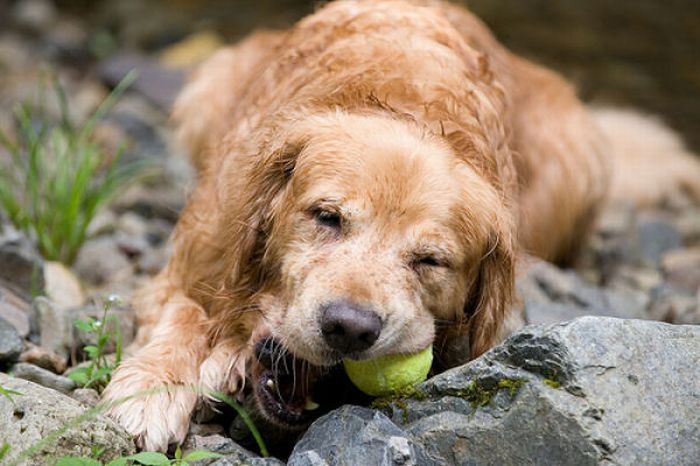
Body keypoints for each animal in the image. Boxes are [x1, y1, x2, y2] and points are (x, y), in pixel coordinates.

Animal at [102, 0, 700, 454]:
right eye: (327, 218)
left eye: (430, 261)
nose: (348, 327)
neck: (406, 106)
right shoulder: (200, 254)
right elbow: (185, 312)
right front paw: (151, 390)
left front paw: (222, 357)